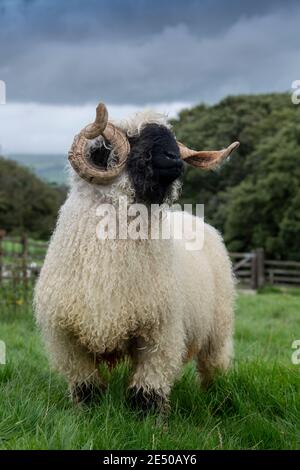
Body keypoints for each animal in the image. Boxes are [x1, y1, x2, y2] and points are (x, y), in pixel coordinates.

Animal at [33, 103, 239, 412]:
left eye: (170, 138)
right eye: (133, 139)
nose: (175, 159)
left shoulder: (160, 329)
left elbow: (149, 386)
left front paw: (149, 419)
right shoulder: (66, 335)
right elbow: (85, 384)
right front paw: (86, 411)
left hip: (218, 326)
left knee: (213, 365)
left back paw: (215, 397)